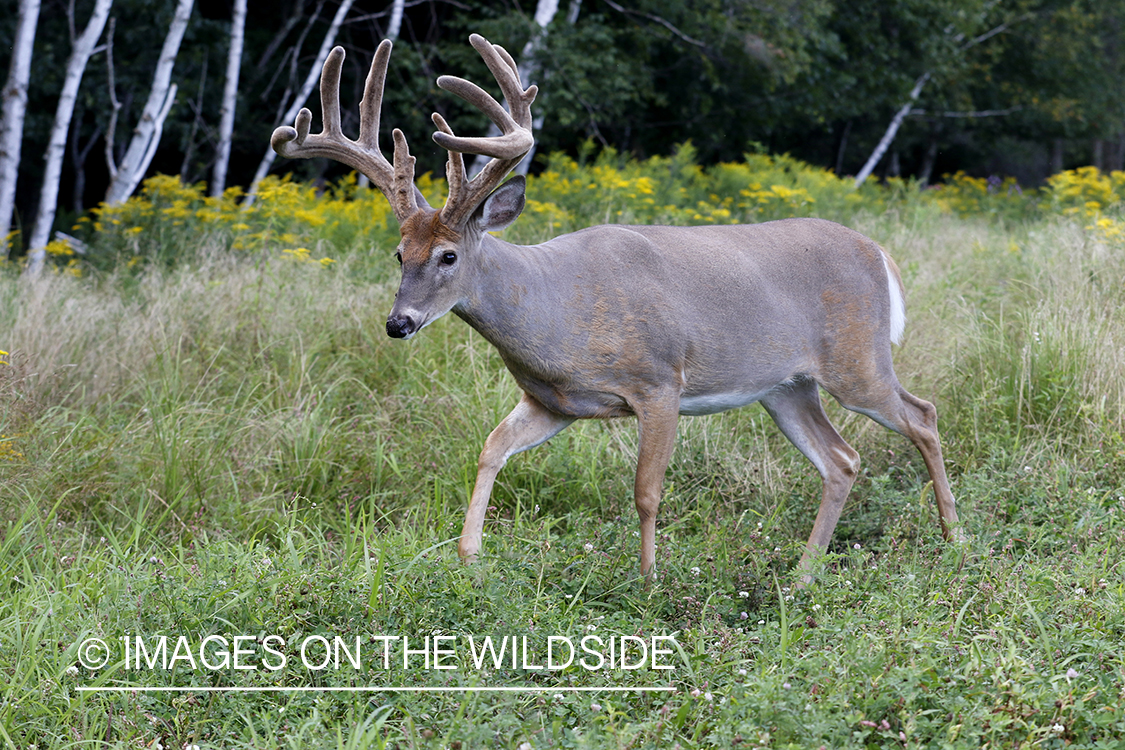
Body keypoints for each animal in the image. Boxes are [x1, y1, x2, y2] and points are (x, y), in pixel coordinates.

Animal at [272, 33, 967, 584]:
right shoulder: (552, 401)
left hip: (857, 361)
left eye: (447, 256)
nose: (399, 323)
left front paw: (648, 579)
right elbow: (491, 448)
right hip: (786, 386)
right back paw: (803, 574)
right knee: (842, 460)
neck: (553, 310)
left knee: (923, 415)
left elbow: (646, 491)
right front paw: (470, 558)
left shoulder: (659, 382)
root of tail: (879, 253)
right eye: (397, 253)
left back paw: (953, 538)